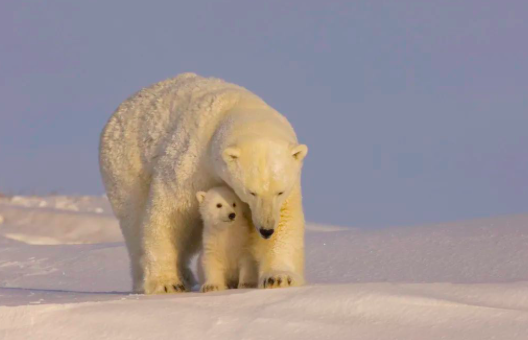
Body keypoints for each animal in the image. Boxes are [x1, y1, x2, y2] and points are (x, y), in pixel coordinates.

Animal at [99, 73, 308, 294]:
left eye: (280, 192)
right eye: (251, 192)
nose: (266, 230)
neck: (236, 107)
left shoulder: (290, 181)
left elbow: (286, 218)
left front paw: (279, 277)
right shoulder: (191, 162)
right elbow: (169, 212)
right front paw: (166, 283)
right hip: (125, 166)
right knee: (134, 220)